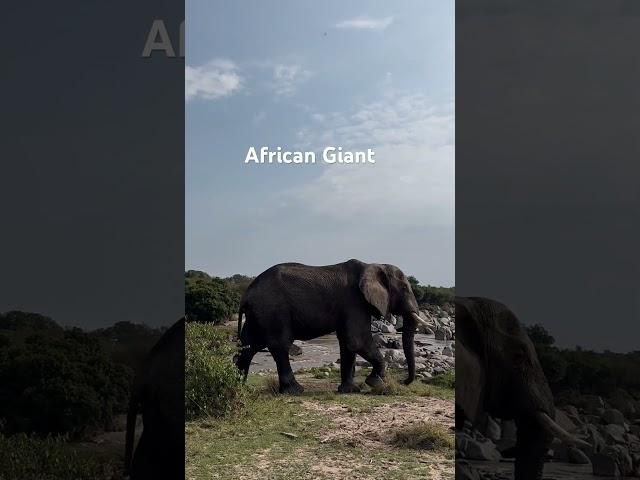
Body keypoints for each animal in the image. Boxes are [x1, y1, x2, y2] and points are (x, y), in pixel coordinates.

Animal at [232, 258, 428, 394]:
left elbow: (347, 343)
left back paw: (240, 388)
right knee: (279, 345)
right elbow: (357, 340)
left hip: (259, 314)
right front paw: (375, 383)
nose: (403, 382)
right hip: (273, 309)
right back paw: (295, 391)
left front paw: (350, 391)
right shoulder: (354, 302)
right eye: (404, 288)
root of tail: (246, 294)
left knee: (250, 345)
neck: (374, 264)